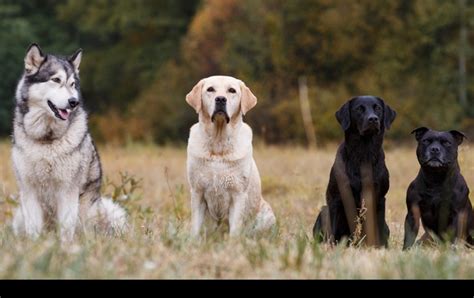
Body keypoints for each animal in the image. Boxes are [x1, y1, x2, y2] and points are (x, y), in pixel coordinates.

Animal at [314, 95, 396, 247]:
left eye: (378, 108)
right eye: (359, 109)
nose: (373, 119)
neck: (363, 154)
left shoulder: (380, 198)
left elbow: (378, 228)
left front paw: (380, 248)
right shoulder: (335, 198)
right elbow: (332, 230)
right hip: (323, 211)